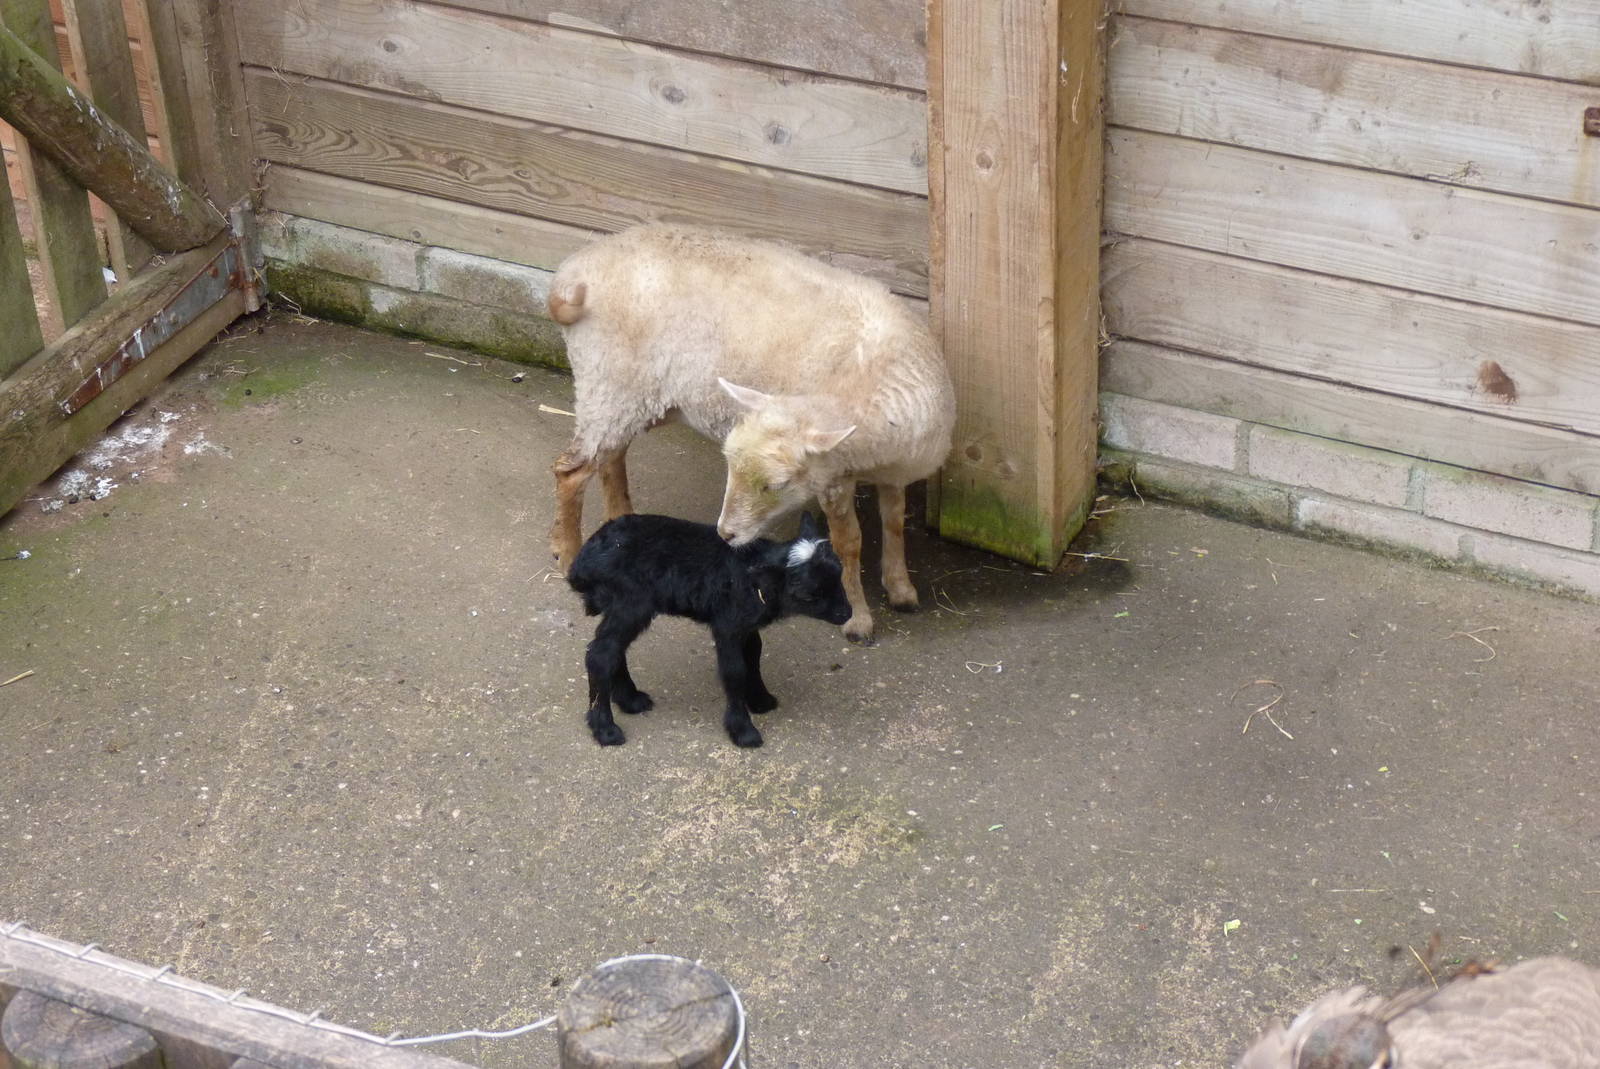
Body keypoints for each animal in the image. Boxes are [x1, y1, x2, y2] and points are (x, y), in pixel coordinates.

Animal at [545, 223, 956, 643]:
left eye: (776, 485)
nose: (724, 535)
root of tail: (575, 271)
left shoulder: (893, 470)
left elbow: (894, 522)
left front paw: (901, 588)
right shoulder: (833, 479)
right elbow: (848, 545)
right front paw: (858, 618)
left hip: (632, 396)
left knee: (611, 455)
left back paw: (621, 517)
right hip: (608, 380)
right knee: (571, 470)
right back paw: (567, 552)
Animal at [565, 511, 852, 748]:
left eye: (840, 574)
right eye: (809, 595)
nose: (846, 614)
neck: (756, 580)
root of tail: (582, 563)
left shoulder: (745, 624)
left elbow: (754, 656)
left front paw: (761, 699)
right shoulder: (726, 624)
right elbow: (734, 671)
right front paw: (743, 731)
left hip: (625, 608)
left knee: (612, 649)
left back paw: (631, 699)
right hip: (631, 602)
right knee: (600, 655)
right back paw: (606, 729)